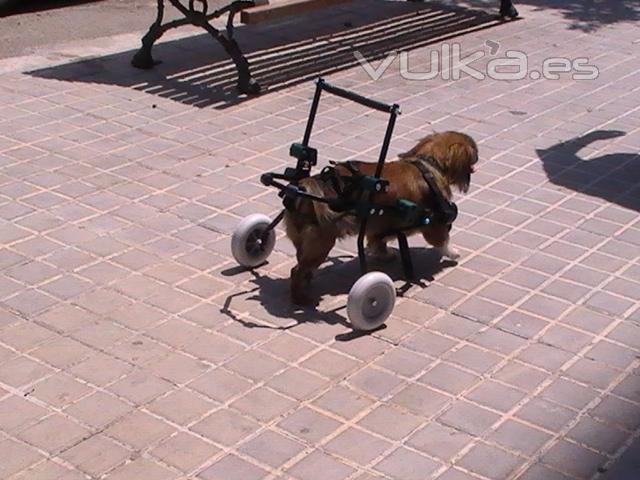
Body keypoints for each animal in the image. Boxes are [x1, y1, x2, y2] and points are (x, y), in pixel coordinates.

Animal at [284, 131, 476, 304]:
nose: (476, 166)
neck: (428, 164)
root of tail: (304, 188)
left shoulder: (379, 225)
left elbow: (378, 241)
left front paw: (384, 254)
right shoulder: (434, 223)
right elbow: (443, 240)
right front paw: (453, 253)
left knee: (301, 265)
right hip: (321, 244)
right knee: (297, 271)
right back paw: (301, 298)